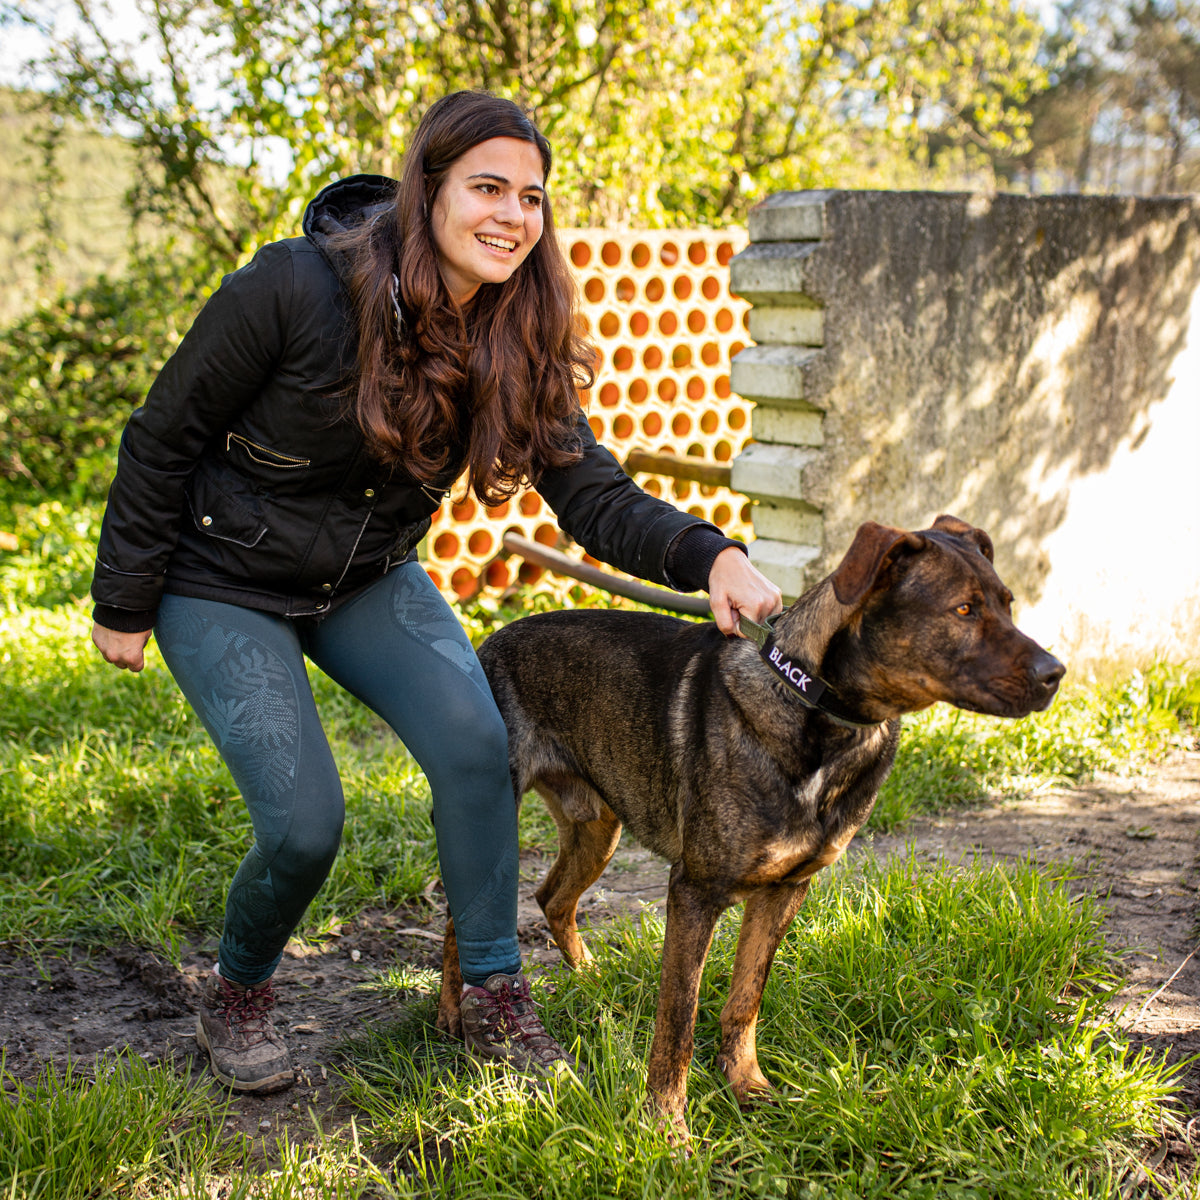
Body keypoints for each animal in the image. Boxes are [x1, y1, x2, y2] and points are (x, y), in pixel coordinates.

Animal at [436, 513, 1065, 1132]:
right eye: (963, 610)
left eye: (1007, 604)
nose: (1056, 672)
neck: (818, 714)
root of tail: (491, 640)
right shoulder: (694, 892)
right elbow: (678, 1019)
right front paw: (665, 1125)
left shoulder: (785, 890)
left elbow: (744, 1001)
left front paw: (746, 1086)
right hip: (492, 807)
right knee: (459, 921)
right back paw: (453, 1019)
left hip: (598, 826)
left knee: (552, 898)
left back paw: (587, 975)